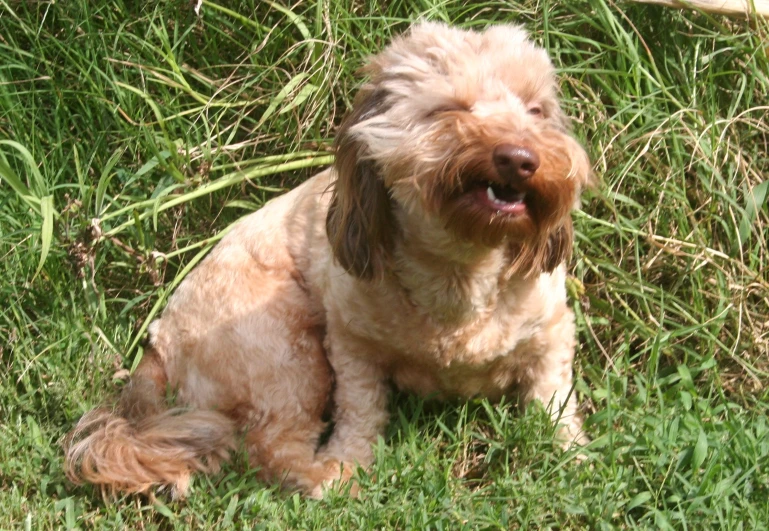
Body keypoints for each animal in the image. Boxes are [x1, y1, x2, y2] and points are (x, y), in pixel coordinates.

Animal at [66, 22, 592, 500]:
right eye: (449, 109)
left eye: (537, 110)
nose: (521, 157)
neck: (460, 271)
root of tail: (160, 338)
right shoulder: (351, 346)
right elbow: (360, 412)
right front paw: (348, 463)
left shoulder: (553, 334)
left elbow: (554, 401)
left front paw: (573, 456)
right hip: (286, 352)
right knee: (270, 446)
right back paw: (326, 479)